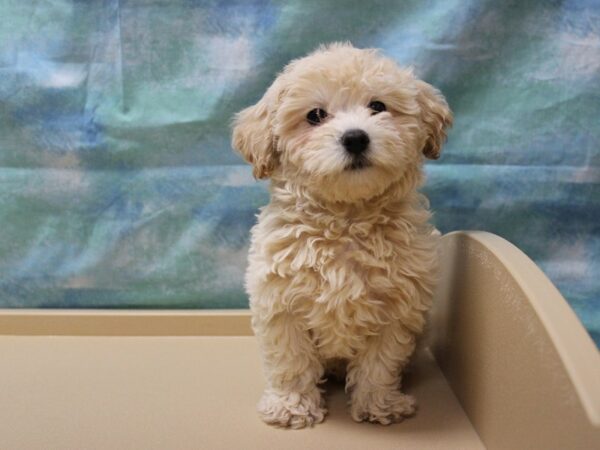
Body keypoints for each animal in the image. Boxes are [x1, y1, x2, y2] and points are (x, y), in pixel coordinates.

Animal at [232, 43, 452, 428]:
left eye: (377, 106)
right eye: (315, 115)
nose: (355, 137)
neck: (346, 220)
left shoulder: (398, 307)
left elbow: (381, 362)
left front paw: (379, 404)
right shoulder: (280, 302)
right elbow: (291, 361)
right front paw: (292, 407)